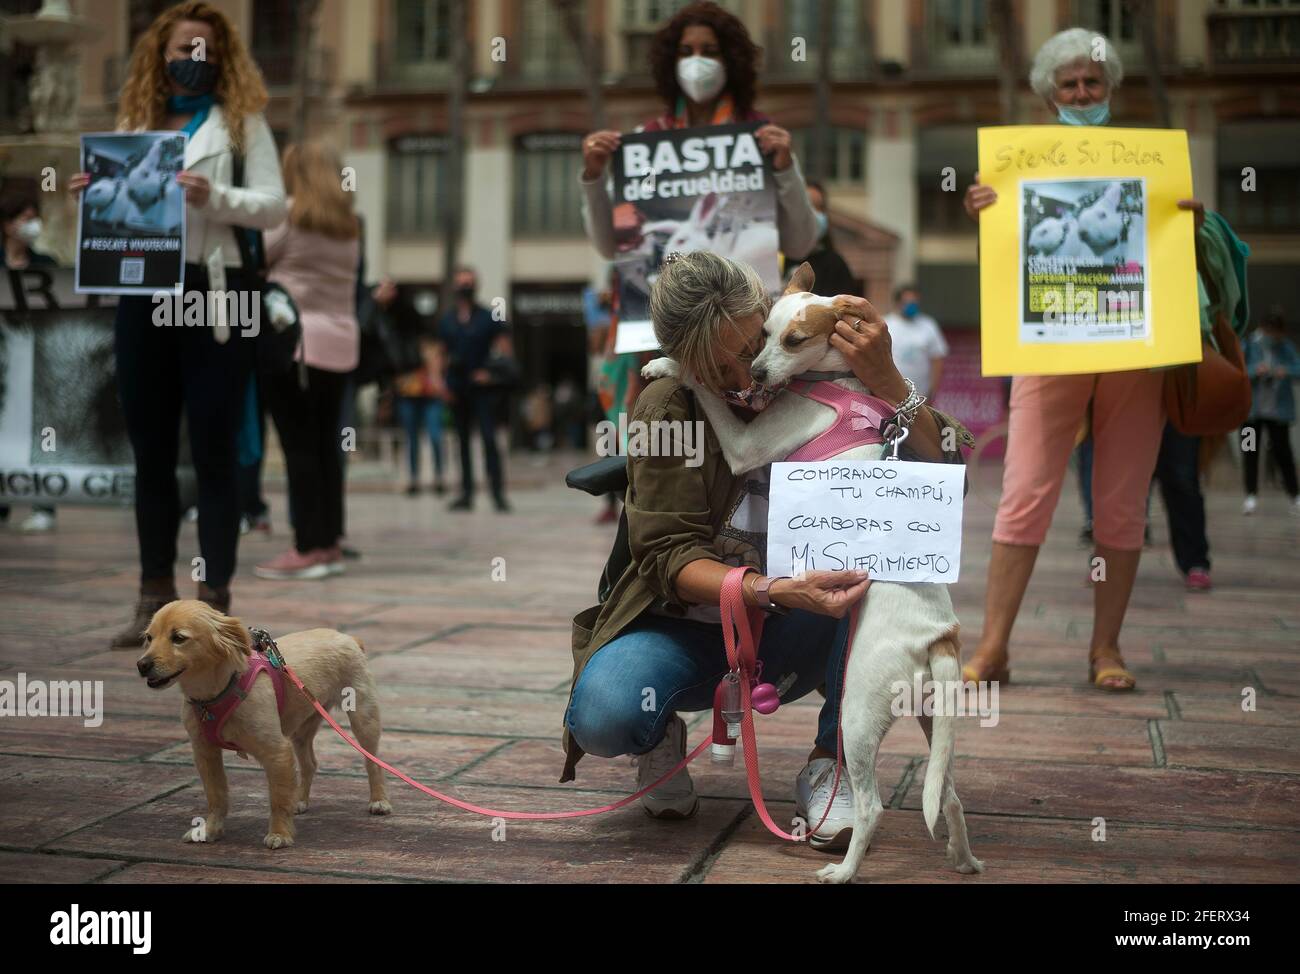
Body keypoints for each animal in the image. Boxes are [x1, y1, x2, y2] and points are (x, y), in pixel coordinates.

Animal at [137, 595, 392, 847]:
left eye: (179, 638)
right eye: (149, 637)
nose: (141, 665)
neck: (215, 693)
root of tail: (348, 638)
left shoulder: (277, 752)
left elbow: (277, 800)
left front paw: (280, 834)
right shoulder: (205, 753)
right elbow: (216, 796)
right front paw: (210, 830)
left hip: (363, 718)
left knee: (372, 762)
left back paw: (379, 800)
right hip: (302, 728)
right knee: (309, 763)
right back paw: (299, 800)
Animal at [639, 260, 982, 879]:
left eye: (795, 340)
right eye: (762, 334)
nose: (754, 370)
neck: (839, 381)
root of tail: (936, 636)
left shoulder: (748, 443)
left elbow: (711, 392)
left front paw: (668, 364)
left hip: (860, 710)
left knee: (871, 805)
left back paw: (843, 868)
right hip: (932, 718)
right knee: (949, 797)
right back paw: (964, 860)